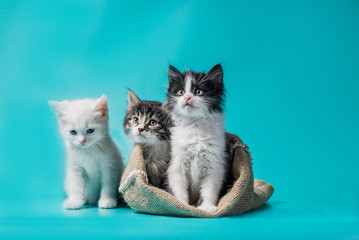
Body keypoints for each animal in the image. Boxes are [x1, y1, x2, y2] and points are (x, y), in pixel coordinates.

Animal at [166, 64, 228, 213]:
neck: (195, 126)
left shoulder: (215, 165)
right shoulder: (177, 164)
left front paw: (207, 207)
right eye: (181, 92)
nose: (187, 97)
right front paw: (181, 205)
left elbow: (209, 190)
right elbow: (180, 188)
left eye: (198, 92)